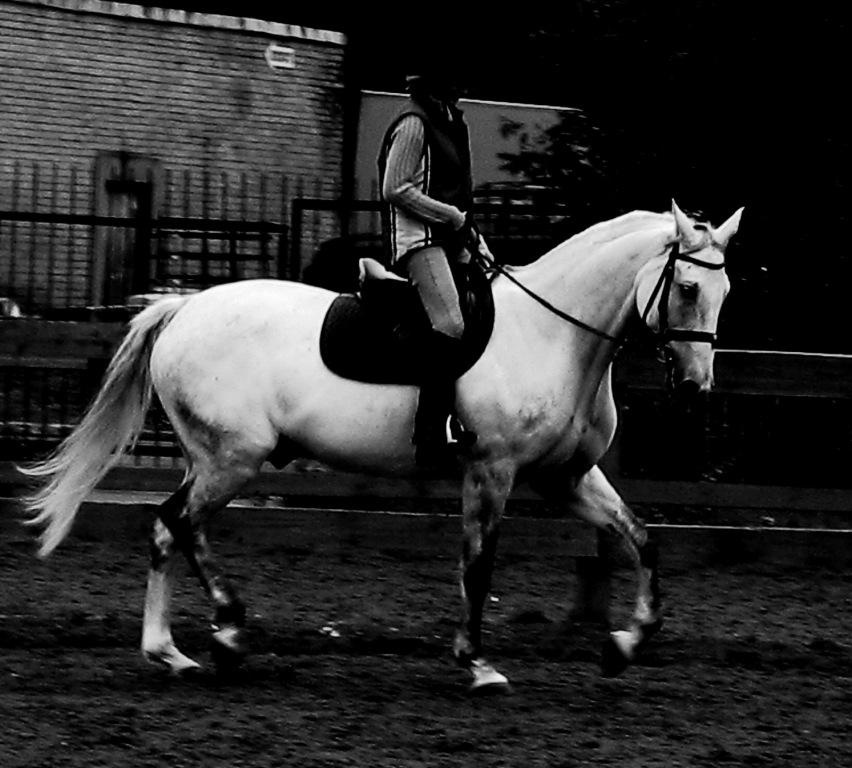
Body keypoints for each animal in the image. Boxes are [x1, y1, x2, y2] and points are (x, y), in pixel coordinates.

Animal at [22, 200, 743, 691]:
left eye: (725, 291)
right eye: (687, 288)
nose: (697, 387)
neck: (553, 335)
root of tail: (183, 309)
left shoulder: (565, 477)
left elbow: (642, 539)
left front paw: (626, 642)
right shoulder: (493, 469)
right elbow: (478, 565)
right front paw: (477, 663)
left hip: (214, 459)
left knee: (169, 529)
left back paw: (176, 649)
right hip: (232, 459)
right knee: (177, 522)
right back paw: (216, 632)